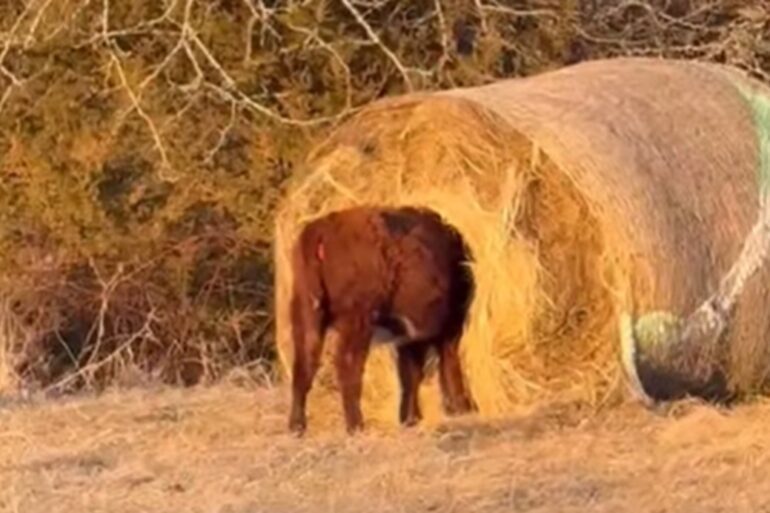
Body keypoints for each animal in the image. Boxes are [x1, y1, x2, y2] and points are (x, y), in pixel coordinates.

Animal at [287, 205, 476, 435]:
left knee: (304, 365)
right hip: (358, 322)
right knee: (347, 364)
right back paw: (356, 425)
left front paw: (410, 418)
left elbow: (410, 374)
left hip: (308, 315)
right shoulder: (445, 330)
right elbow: (444, 366)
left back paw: (297, 426)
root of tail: (320, 231)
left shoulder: (409, 340)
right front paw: (460, 408)